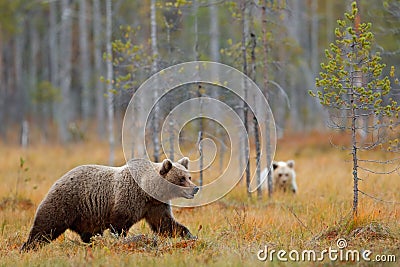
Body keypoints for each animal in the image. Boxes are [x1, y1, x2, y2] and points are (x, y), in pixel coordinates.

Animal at [20, 157, 198, 251]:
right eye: (181, 178)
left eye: (189, 176)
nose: (195, 188)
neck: (148, 192)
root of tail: (59, 179)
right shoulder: (127, 200)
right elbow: (119, 226)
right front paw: (123, 242)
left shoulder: (155, 205)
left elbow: (166, 224)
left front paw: (190, 235)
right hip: (66, 202)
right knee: (46, 225)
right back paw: (28, 247)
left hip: (87, 216)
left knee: (88, 233)